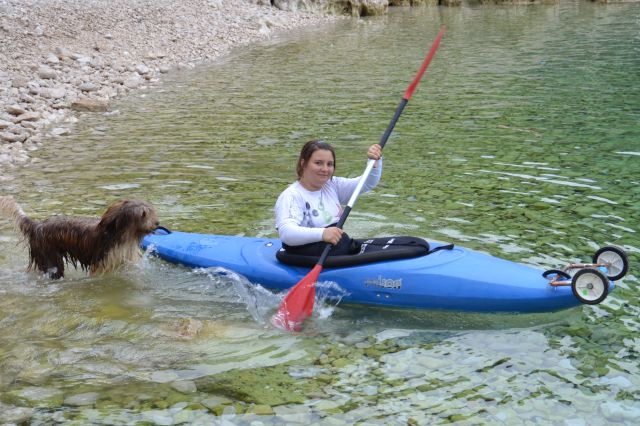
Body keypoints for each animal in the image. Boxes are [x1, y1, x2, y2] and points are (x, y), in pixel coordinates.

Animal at [0, 197, 159, 280]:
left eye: (150, 211)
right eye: (143, 214)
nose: (157, 223)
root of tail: (36, 225)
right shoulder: (101, 264)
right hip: (50, 258)